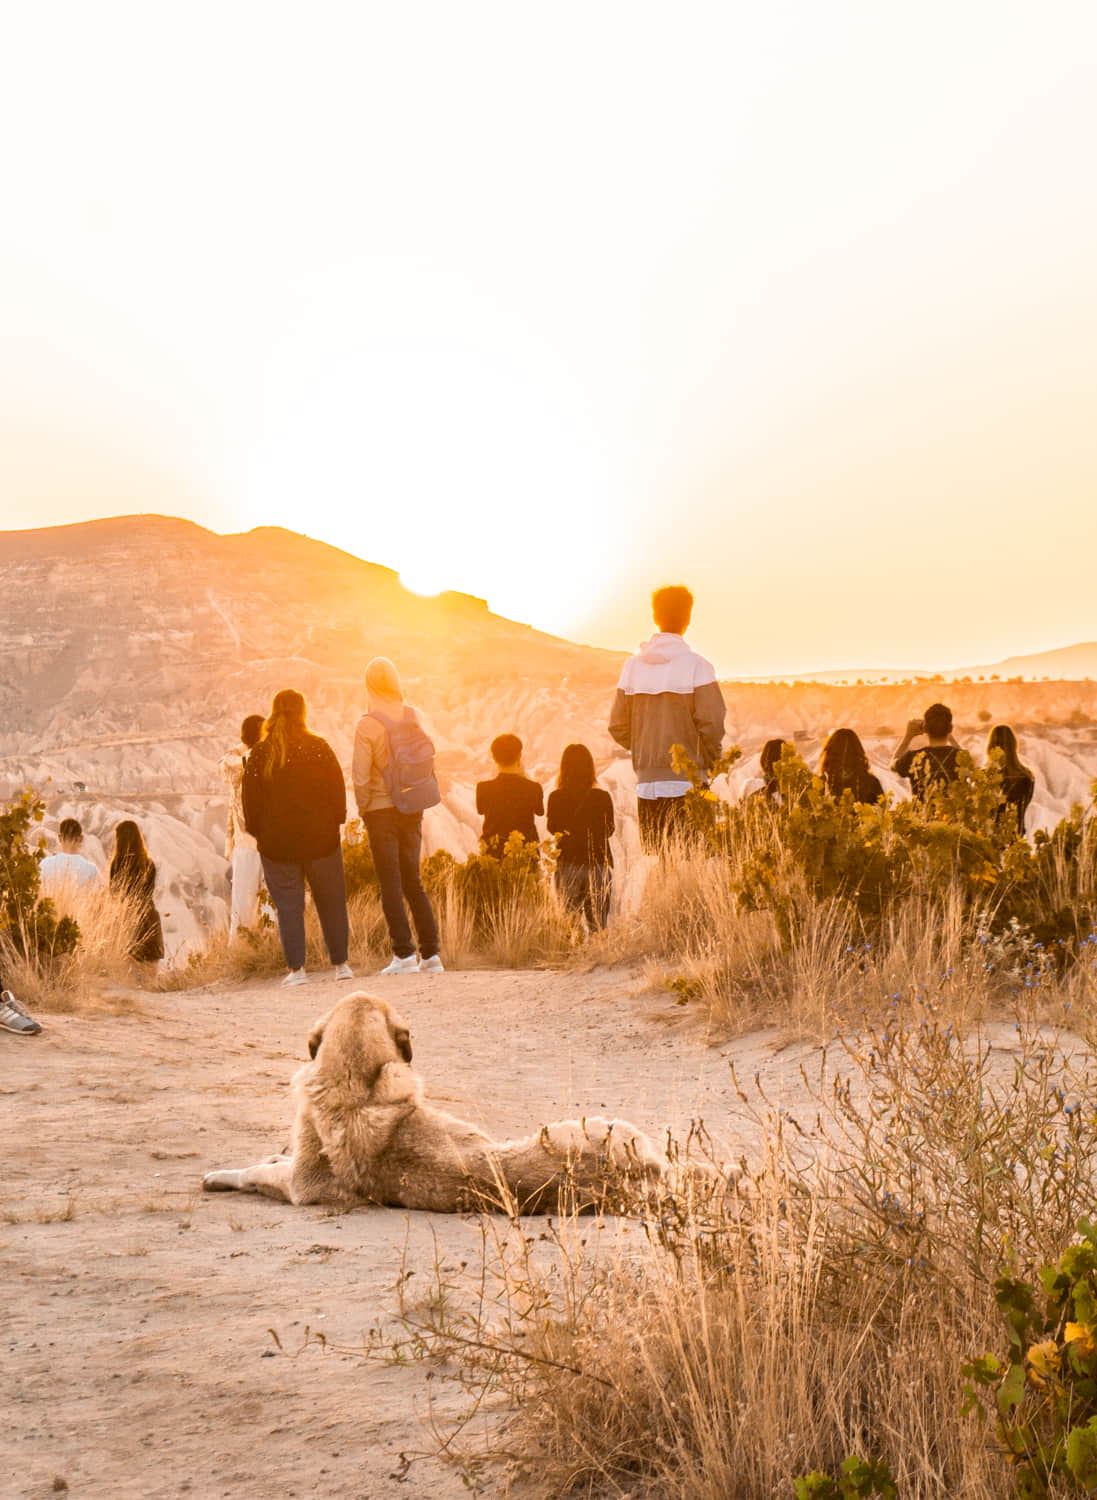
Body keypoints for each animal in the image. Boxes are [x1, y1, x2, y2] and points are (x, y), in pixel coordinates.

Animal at [207, 990, 669, 1212]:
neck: (355, 1084)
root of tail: (643, 1171)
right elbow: (270, 1164)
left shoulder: (301, 1187)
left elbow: (254, 1173)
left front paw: (220, 1175)